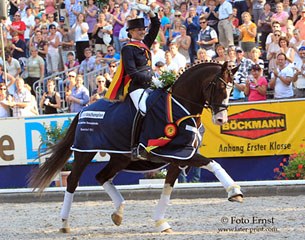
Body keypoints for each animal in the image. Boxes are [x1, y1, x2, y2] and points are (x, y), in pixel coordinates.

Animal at [29, 60, 242, 234]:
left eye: (232, 90)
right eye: (219, 87)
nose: (221, 119)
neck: (180, 106)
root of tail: (84, 109)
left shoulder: (179, 157)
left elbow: (167, 189)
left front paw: (160, 222)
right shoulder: (172, 153)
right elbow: (213, 163)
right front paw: (234, 191)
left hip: (120, 158)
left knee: (101, 176)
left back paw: (118, 212)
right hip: (85, 152)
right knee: (73, 181)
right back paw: (64, 224)